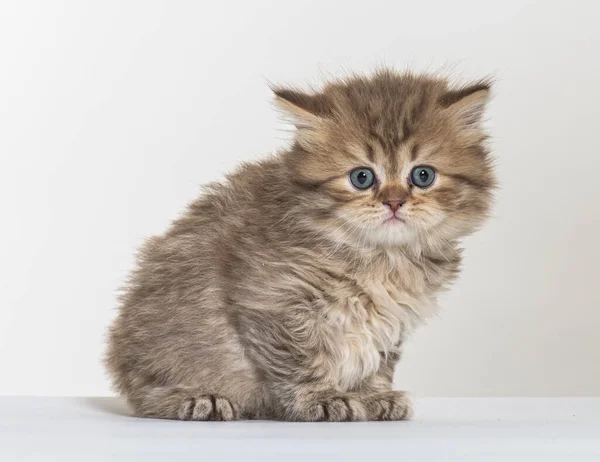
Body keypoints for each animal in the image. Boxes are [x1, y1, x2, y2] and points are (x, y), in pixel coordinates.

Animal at [105, 69, 494, 422]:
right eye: (362, 177)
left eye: (422, 175)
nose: (394, 202)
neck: (381, 257)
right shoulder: (273, 301)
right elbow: (301, 360)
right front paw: (321, 398)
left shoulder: (391, 321)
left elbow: (377, 362)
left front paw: (372, 396)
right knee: (145, 395)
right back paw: (197, 399)